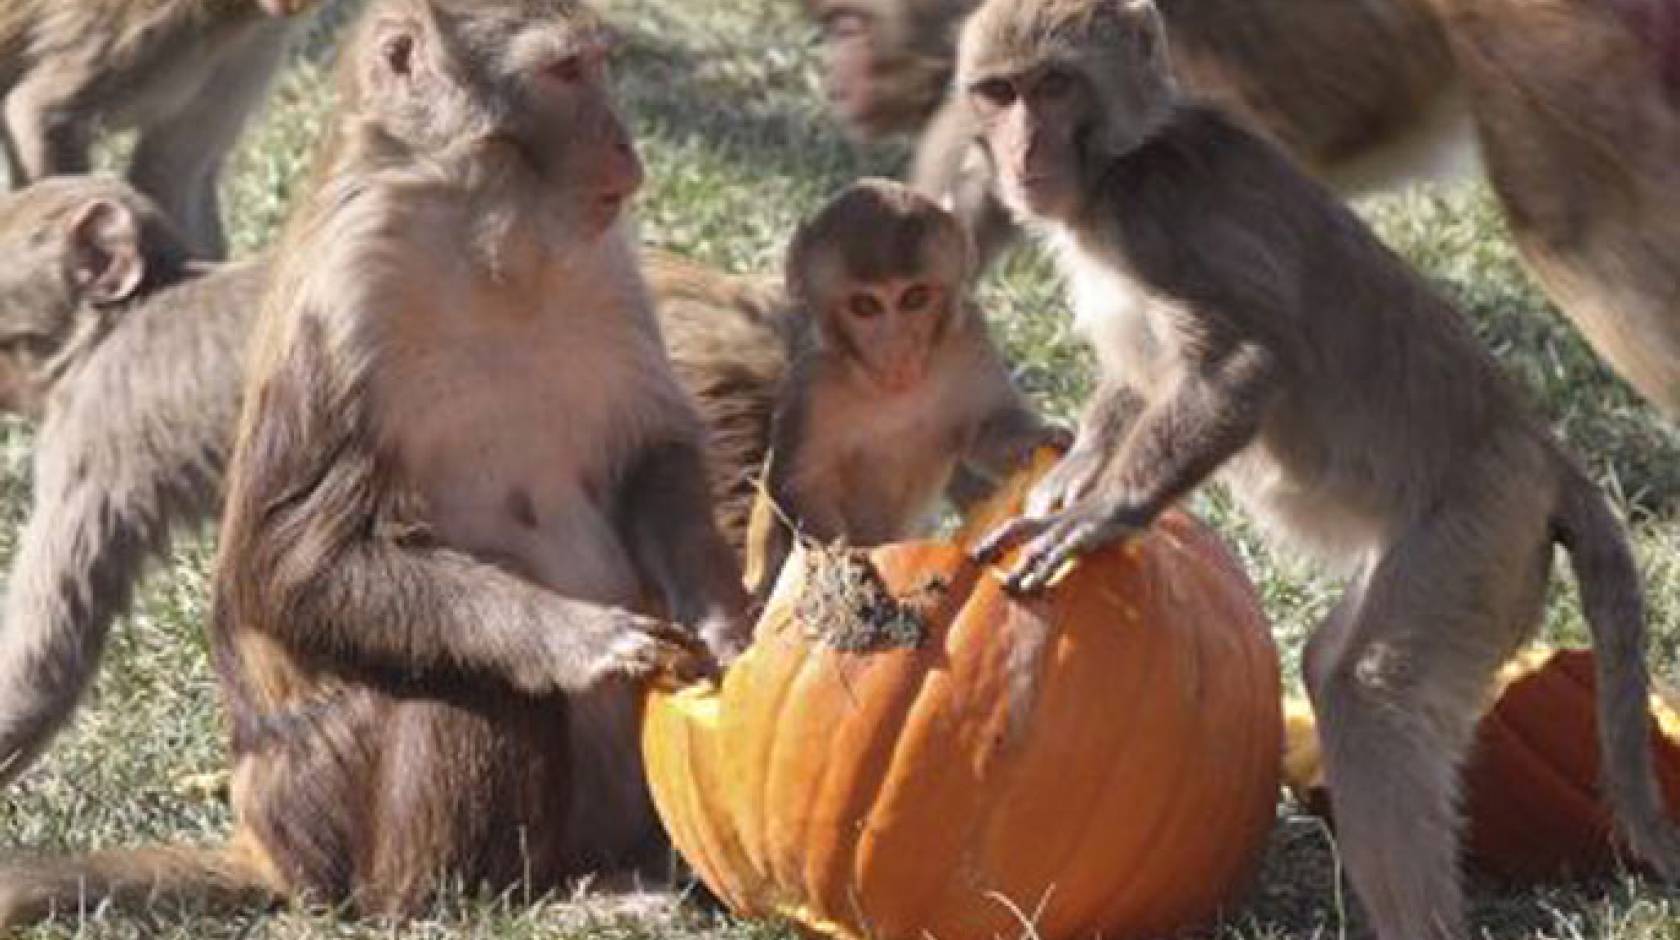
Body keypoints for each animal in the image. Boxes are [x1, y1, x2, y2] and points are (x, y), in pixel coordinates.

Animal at [752, 177, 1064, 594]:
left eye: (914, 298)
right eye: (865, 306)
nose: (896, 346)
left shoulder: (969, 337)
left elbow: (984, 430)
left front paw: (1041, 437)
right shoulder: (812, 381)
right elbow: (799, 484)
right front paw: (844, 573)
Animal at [955, 1, 1680, 937]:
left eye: (1053, 86)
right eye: (999, 93)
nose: (1022, 154)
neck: (1122, 164)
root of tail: (1544, 449)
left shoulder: (1161, 221)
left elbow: (1243, 370)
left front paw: (1102, 514)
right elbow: (1140, 380)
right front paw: (1072, 475)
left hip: (1479, 527)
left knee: (1367, 694)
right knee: (1337, 666)